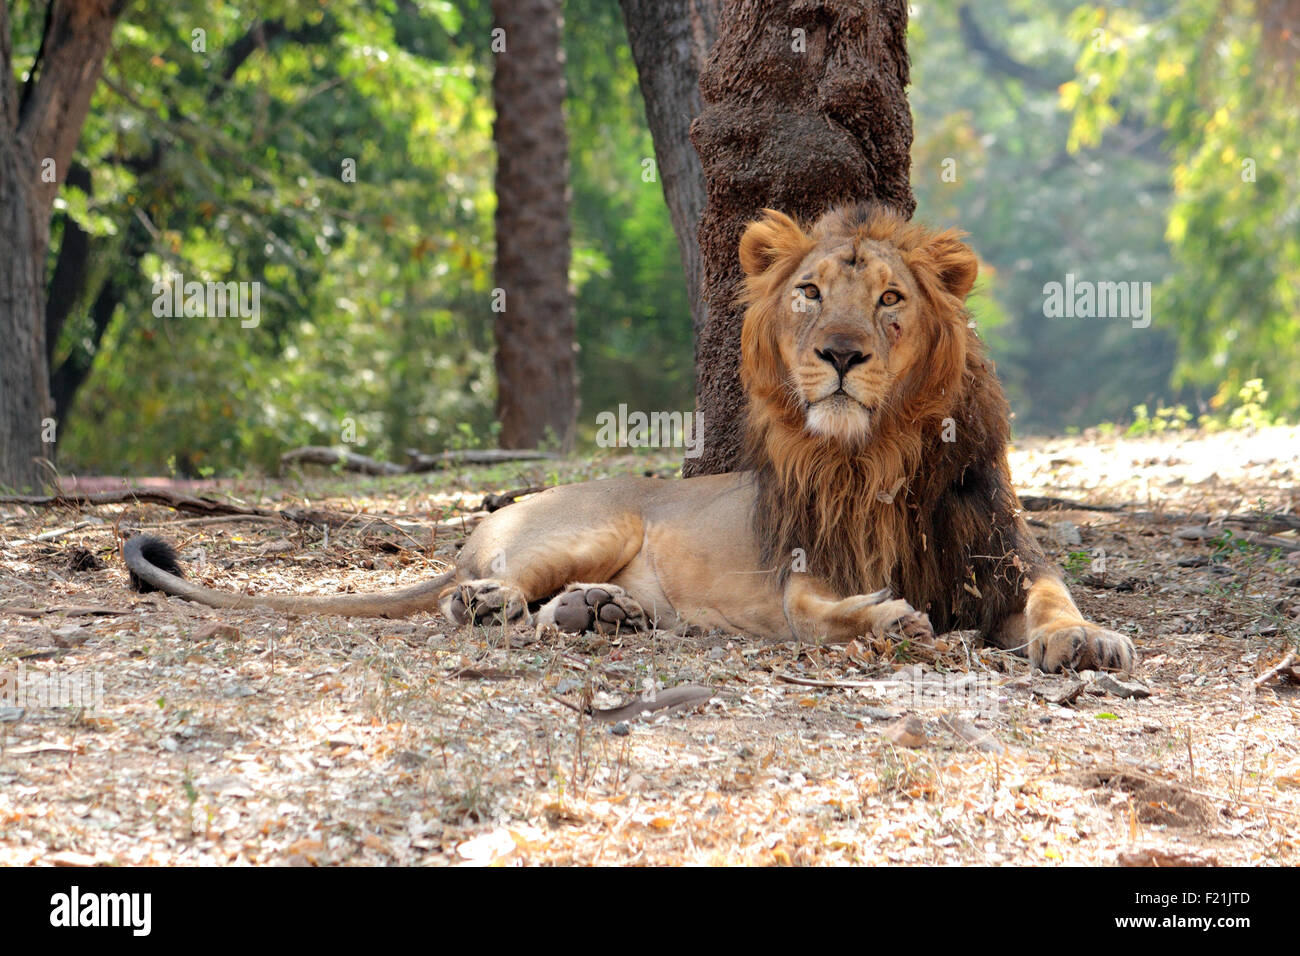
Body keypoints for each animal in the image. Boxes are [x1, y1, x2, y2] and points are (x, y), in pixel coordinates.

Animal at [124, 204, 1138, 671]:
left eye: (891, 298)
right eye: (810, 294)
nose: (841, 354)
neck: (875, 457)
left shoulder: (1007, 556)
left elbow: (1057, 601)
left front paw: (1090, 642)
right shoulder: (800, 571)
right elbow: (824, 612)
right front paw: (892, 618)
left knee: (563, 607)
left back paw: (604, 613)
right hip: (593, 523)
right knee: (481, 594)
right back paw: (498, 604)